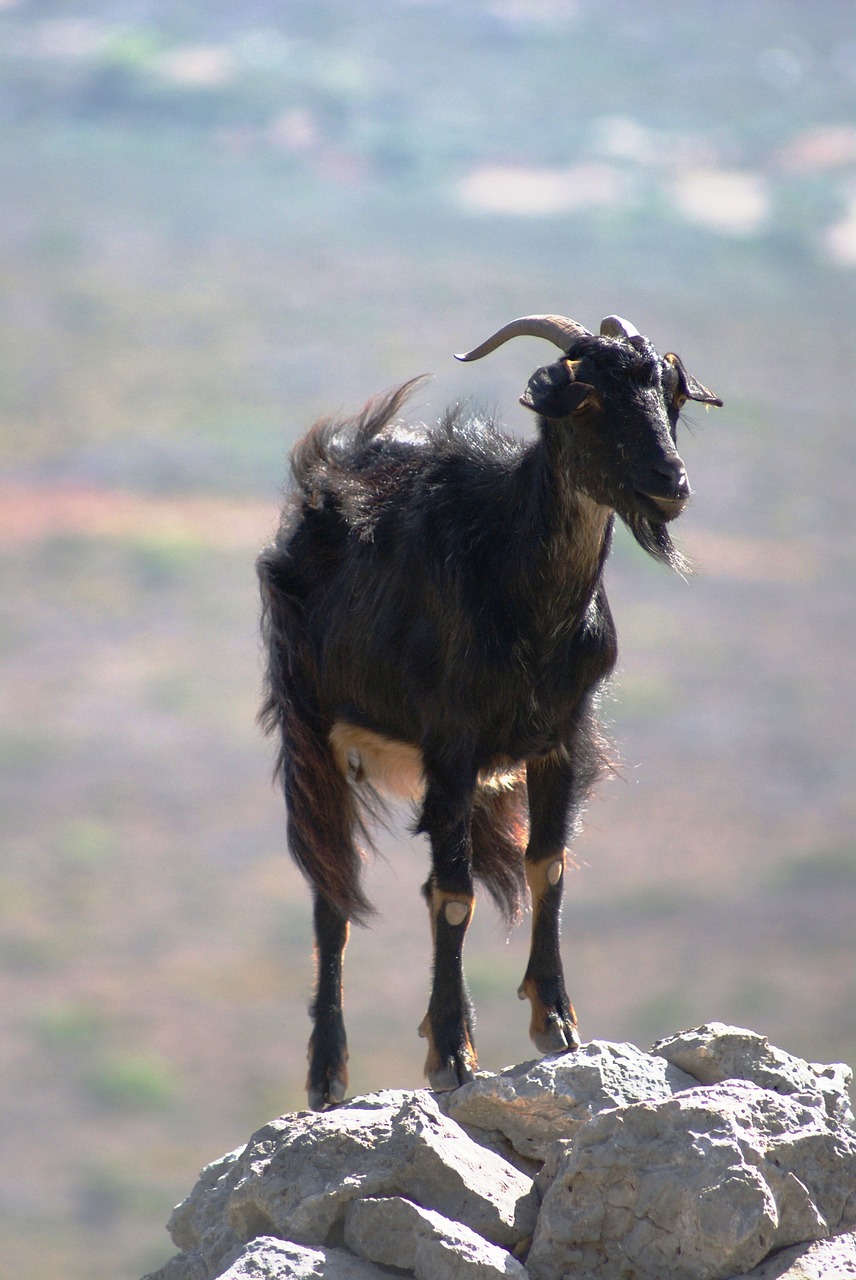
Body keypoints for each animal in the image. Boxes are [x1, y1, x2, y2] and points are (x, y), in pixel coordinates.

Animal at [255, 312, 721, 1111]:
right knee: (331, 896)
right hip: (311, 729)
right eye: (587, 399)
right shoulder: (450, 742)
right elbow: (452, 895)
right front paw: (450, 1052)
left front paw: (555, 1022)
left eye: (669, 393)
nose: (671, 484)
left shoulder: (560, 736)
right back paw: (327, 1075)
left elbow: (548, 866)